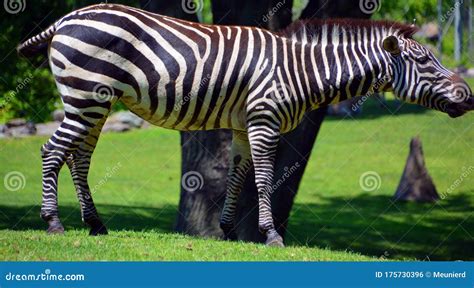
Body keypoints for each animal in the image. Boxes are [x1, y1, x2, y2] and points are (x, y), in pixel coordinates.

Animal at [16, 3, 472, 246]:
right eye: (425, 61)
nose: (468, 95)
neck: (300, 70)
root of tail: (67, 18)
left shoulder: (242, 125)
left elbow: (238, 176)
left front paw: (230, 231)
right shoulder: (265, 120)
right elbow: (266, 177)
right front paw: (271, 235)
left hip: (96, 101)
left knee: (78, 158)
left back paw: (95, 225)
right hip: (85, 96)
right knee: (52, 151)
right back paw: (54, 223)